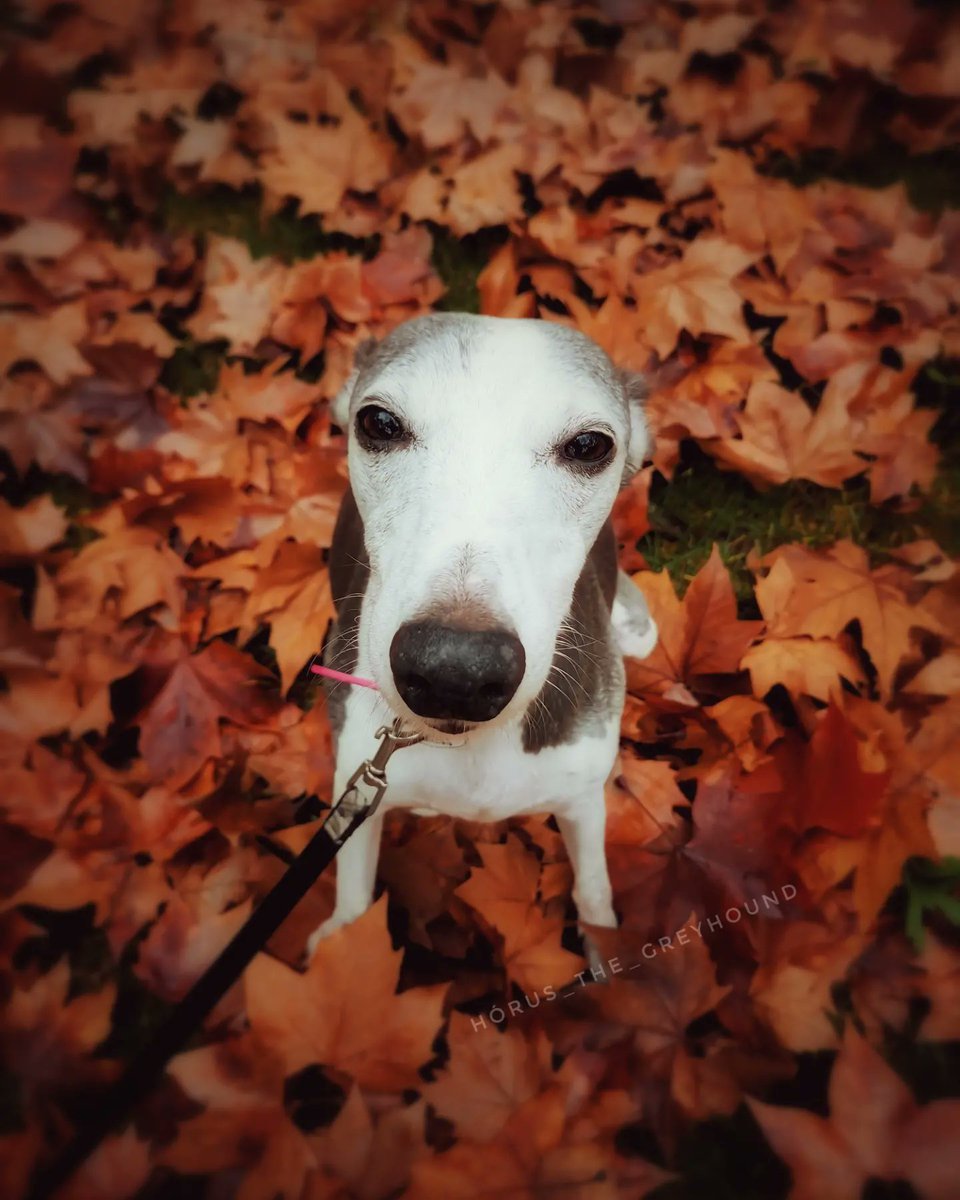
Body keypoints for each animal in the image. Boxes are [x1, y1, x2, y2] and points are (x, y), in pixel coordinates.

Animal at [312, 314, 657, 960]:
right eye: (379, 423)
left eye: (589, 446)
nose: (455, 670)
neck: (474, 751)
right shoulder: (356, 793)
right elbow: (350, 911)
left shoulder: (582, 800)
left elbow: (595, 894)